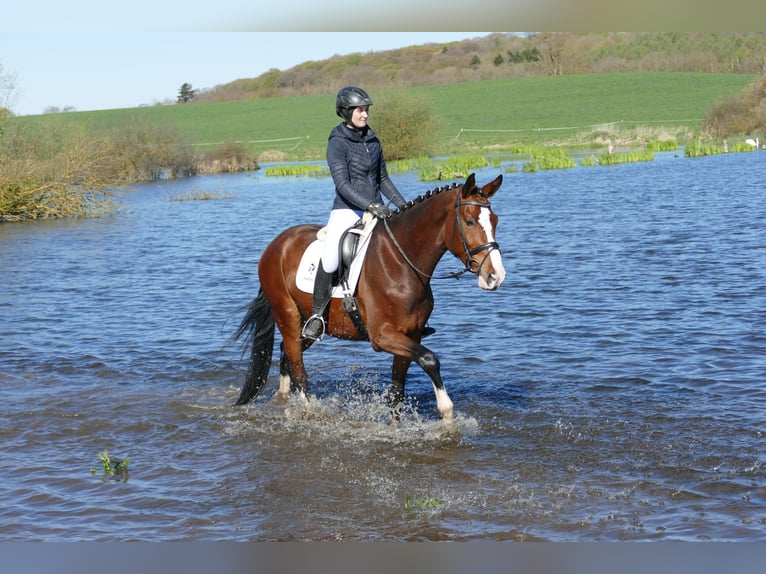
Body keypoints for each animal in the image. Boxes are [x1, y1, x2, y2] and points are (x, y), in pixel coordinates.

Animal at [232, 172, 505, 420]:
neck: (401, 261)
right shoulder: (382, 336)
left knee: (286, 354)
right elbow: (429, 359)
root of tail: (275, 245)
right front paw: (447, 413)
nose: (495, 276)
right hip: (287, 317)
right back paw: (307, 409)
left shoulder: (411, 334)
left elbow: (398, 391)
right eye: (469, 222)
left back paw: (283, 400)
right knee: (297, 365)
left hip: (309, 323)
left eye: (495, 220)